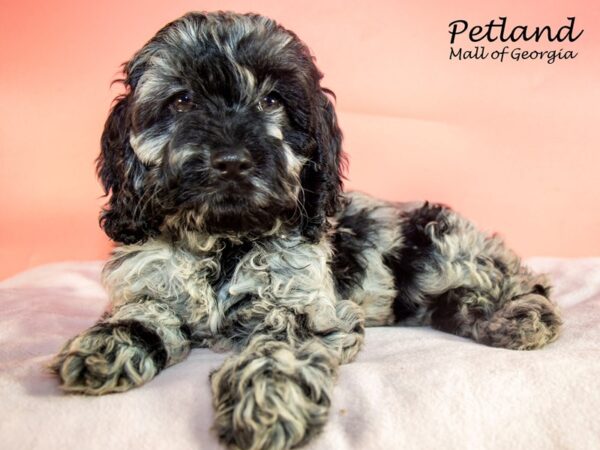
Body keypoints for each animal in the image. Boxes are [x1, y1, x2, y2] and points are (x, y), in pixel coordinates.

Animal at [52, 11, 564, 450]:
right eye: (181, 100)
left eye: (273, 100)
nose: (232, 161)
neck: (225, 241)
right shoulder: (153, 285)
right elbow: (141, 315)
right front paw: (105, 347)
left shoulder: (303, 308)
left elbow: (276, 348)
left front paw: (266, 402)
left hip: (439, 246)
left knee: (514, 278)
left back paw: (519, 315)